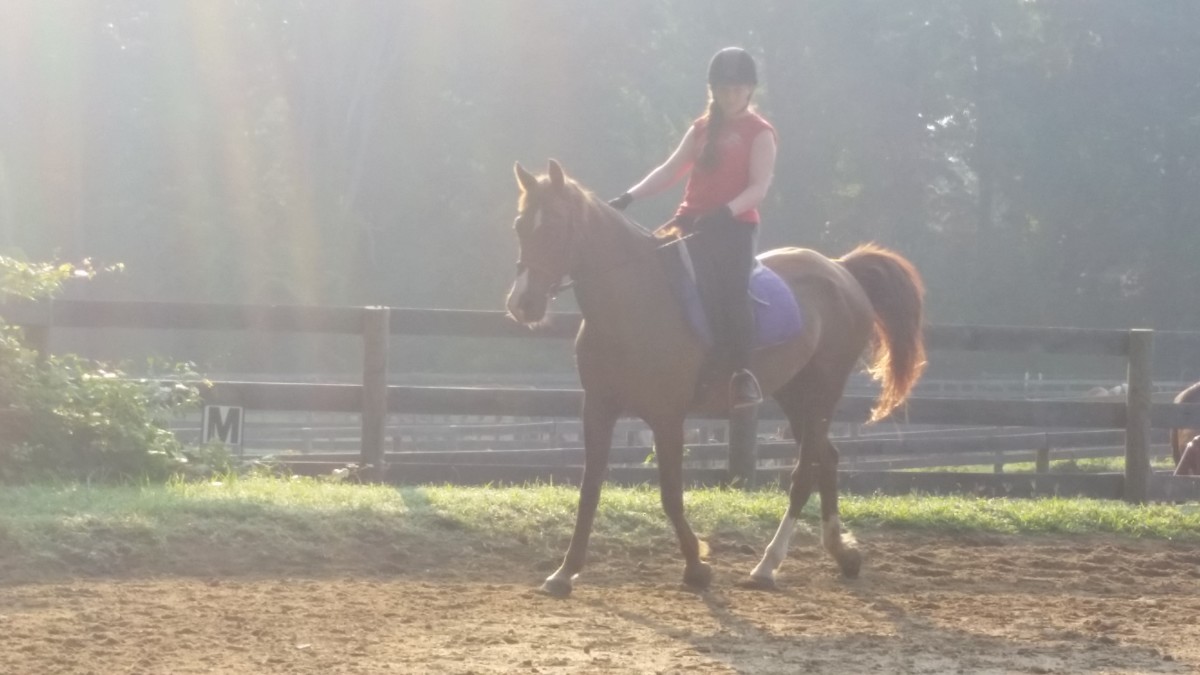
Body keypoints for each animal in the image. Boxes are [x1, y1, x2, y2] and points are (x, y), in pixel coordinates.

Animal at [505, 159, 926, 597]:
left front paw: (696, 565)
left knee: (804, 472)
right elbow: (589, 489)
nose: (523, 304)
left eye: (555, 224)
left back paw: (768, 565)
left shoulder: (667, 416)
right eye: (520, 226)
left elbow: (671, 494)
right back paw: (842, 553)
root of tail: (841, 269)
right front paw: (565, 571)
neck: (633, 301)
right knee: (827, 459)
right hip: (794, 395)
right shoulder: (598, 408)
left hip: (823, 392)